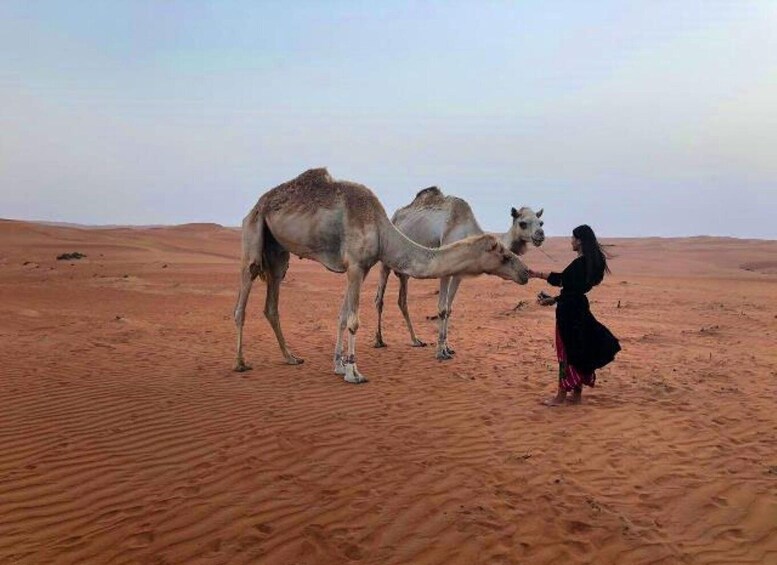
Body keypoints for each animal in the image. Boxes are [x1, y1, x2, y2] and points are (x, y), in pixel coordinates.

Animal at [372, 187, 544, 360]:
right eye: (523, 223)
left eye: (540, 222)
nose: (540, 235)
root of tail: (394, 217)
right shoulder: (445, 267)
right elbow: (442, 309)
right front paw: (440, 351)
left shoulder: (459, 273)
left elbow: (449, 309)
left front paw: (448, 348)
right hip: (386, 260)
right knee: (380, 299)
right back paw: (379, 340)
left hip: (405, 269)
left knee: (402, 300)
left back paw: (416, 340)